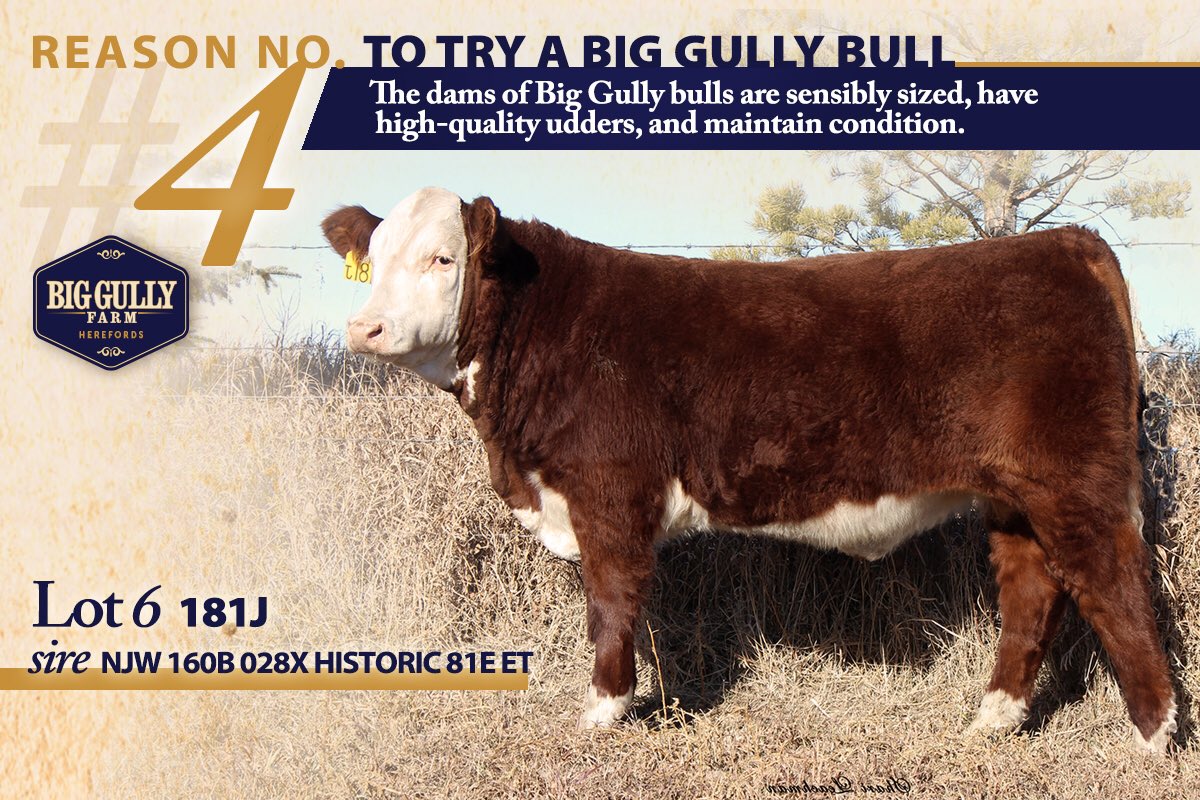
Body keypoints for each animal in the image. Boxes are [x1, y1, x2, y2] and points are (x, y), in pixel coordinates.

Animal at [321, 186, 1176, 753]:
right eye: (375, 259)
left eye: (442, 257)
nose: (363, 328)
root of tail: (1067, 243)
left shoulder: (609, 490)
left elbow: (610, 599)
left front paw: (602, 709)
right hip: (1014, 493)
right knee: (1032, 588)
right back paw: (991, 720)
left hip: (1076, 480)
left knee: (1113, 582)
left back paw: (1153, 738)